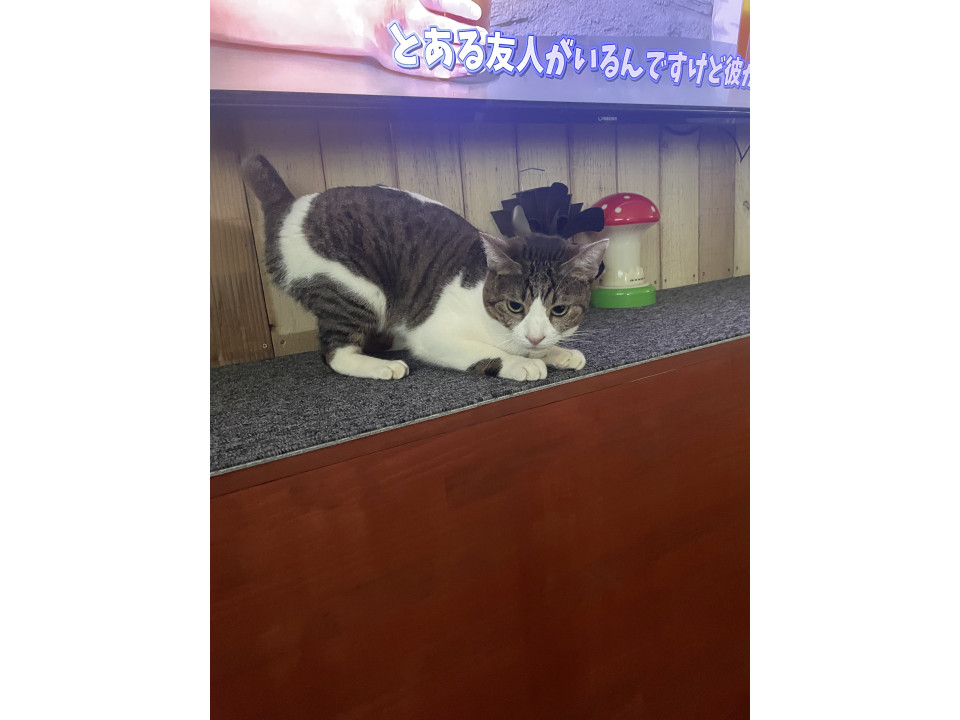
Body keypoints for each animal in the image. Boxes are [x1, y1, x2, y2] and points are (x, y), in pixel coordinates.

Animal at [241, 154, 608, 381]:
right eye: (515, 306)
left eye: (559, 310)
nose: (535, 336)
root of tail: (292, 206)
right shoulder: (435, 335)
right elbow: (491, 351)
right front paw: (522, 363)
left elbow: (539, 347)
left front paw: (557, 352)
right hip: (355, 289)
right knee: (335, 352)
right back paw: (379, 366)